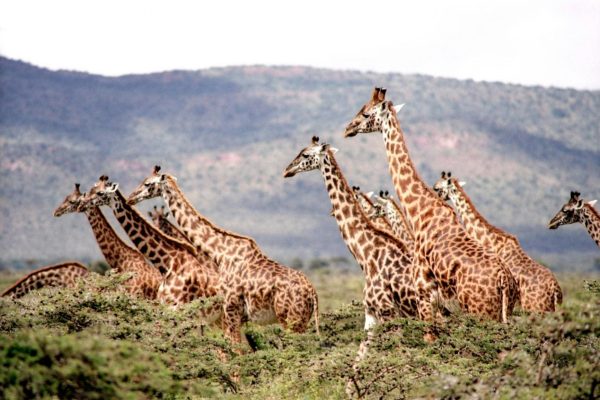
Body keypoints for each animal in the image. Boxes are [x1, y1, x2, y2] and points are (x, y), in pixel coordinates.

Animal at [125, 166, 318, 344]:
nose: (130, 198)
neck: (221, 253)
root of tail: (313, 294)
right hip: (300, 321)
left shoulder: (231, 308)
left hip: (290, 319)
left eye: (147, 183)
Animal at [344, 86, 516, 322]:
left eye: (366, 114)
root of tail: (504, 281)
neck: (420, 212)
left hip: (479, 311)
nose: (347, 129)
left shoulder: (424, 294)